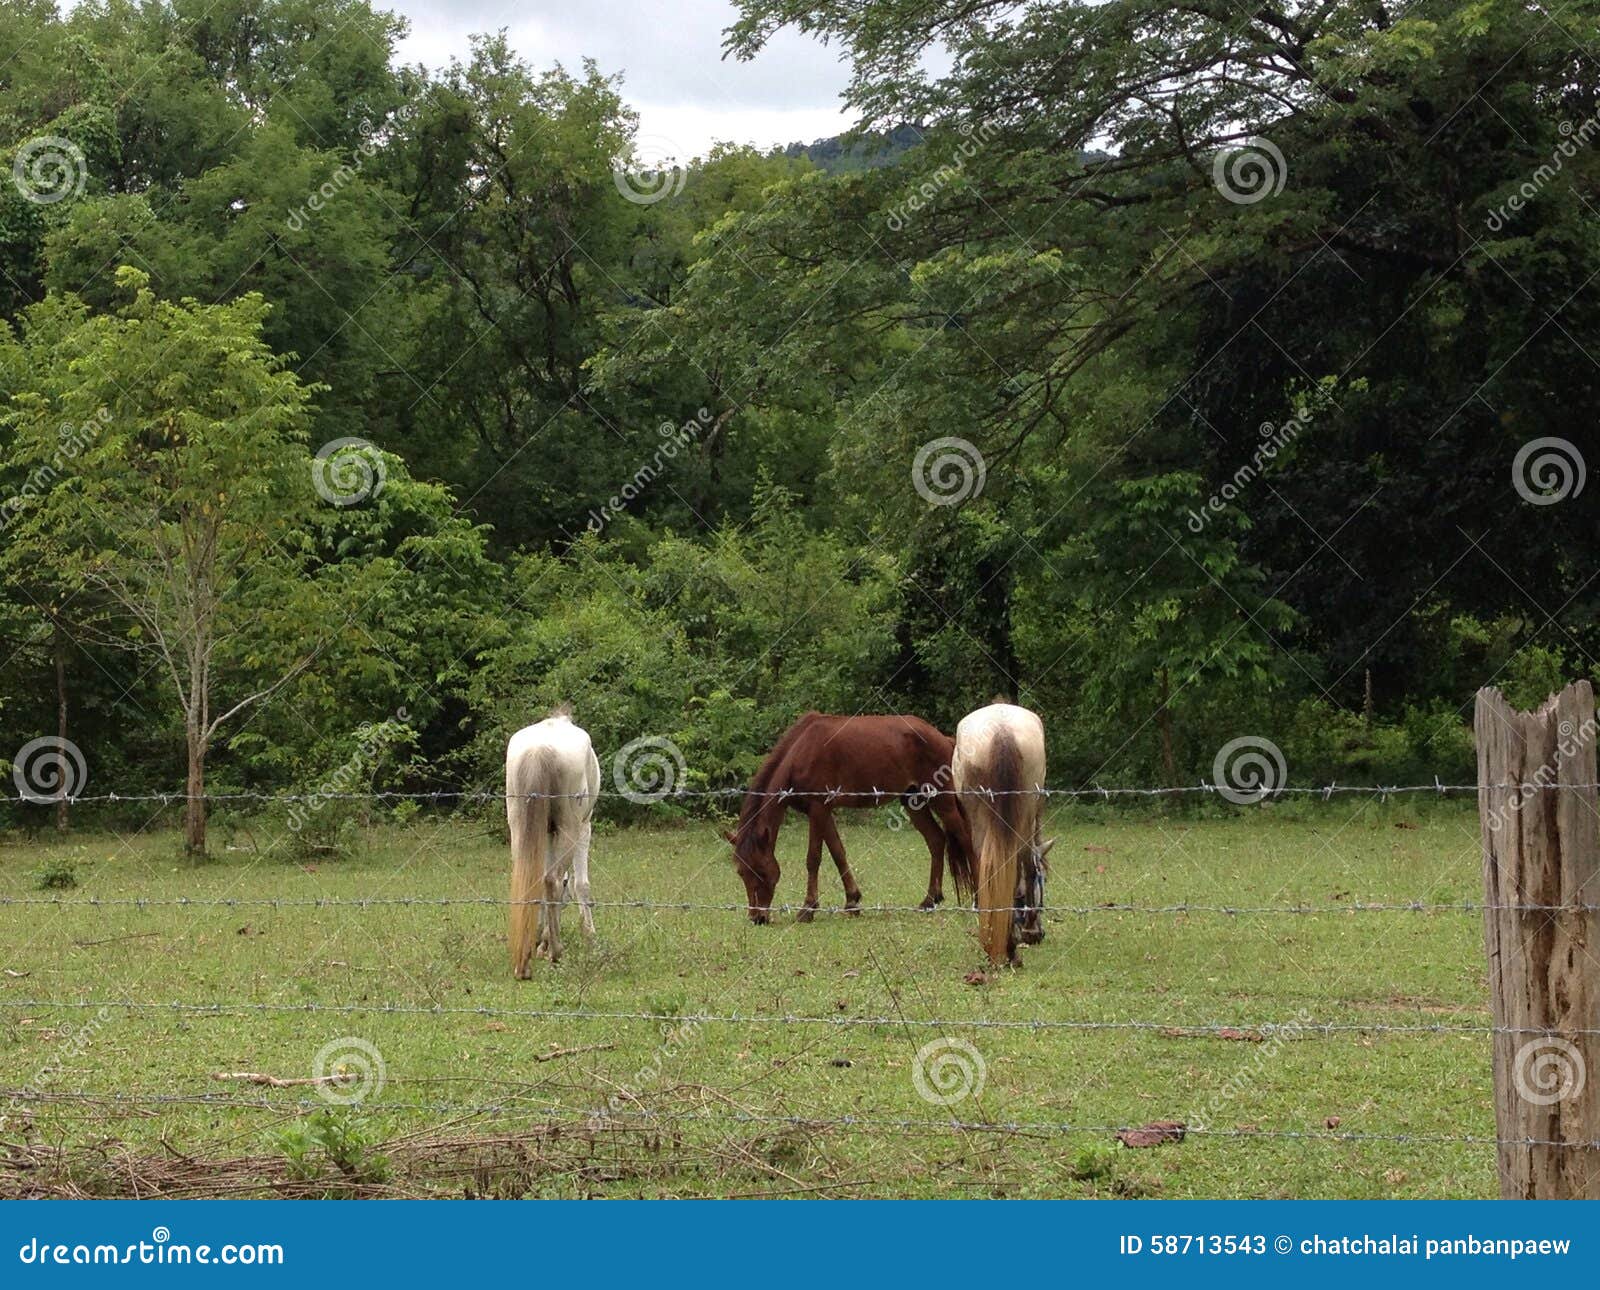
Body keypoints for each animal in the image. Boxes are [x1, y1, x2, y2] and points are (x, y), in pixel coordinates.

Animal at [506, 710, 600, 976]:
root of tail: (539, 749)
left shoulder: (546, 833)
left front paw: (541, 942)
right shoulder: (584, 828)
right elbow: (581, 884)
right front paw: (590, 937)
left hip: (519, 827)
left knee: (533, 877)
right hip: (571, 828)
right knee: (552, 880)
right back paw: (557, 952)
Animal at [724, 712, 975, 924]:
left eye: (760, 870)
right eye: (741, 872)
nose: (757, 918)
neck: (801, 751)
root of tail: (943, 738)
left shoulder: (819, 808)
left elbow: (813, 858)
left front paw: (808, 909)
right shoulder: (822, 812)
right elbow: (838, 853)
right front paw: (852, 901)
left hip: (942, 800)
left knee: (964, 837)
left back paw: (976, 898)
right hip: (914, 802)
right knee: (936, 840)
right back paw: (930, 900)